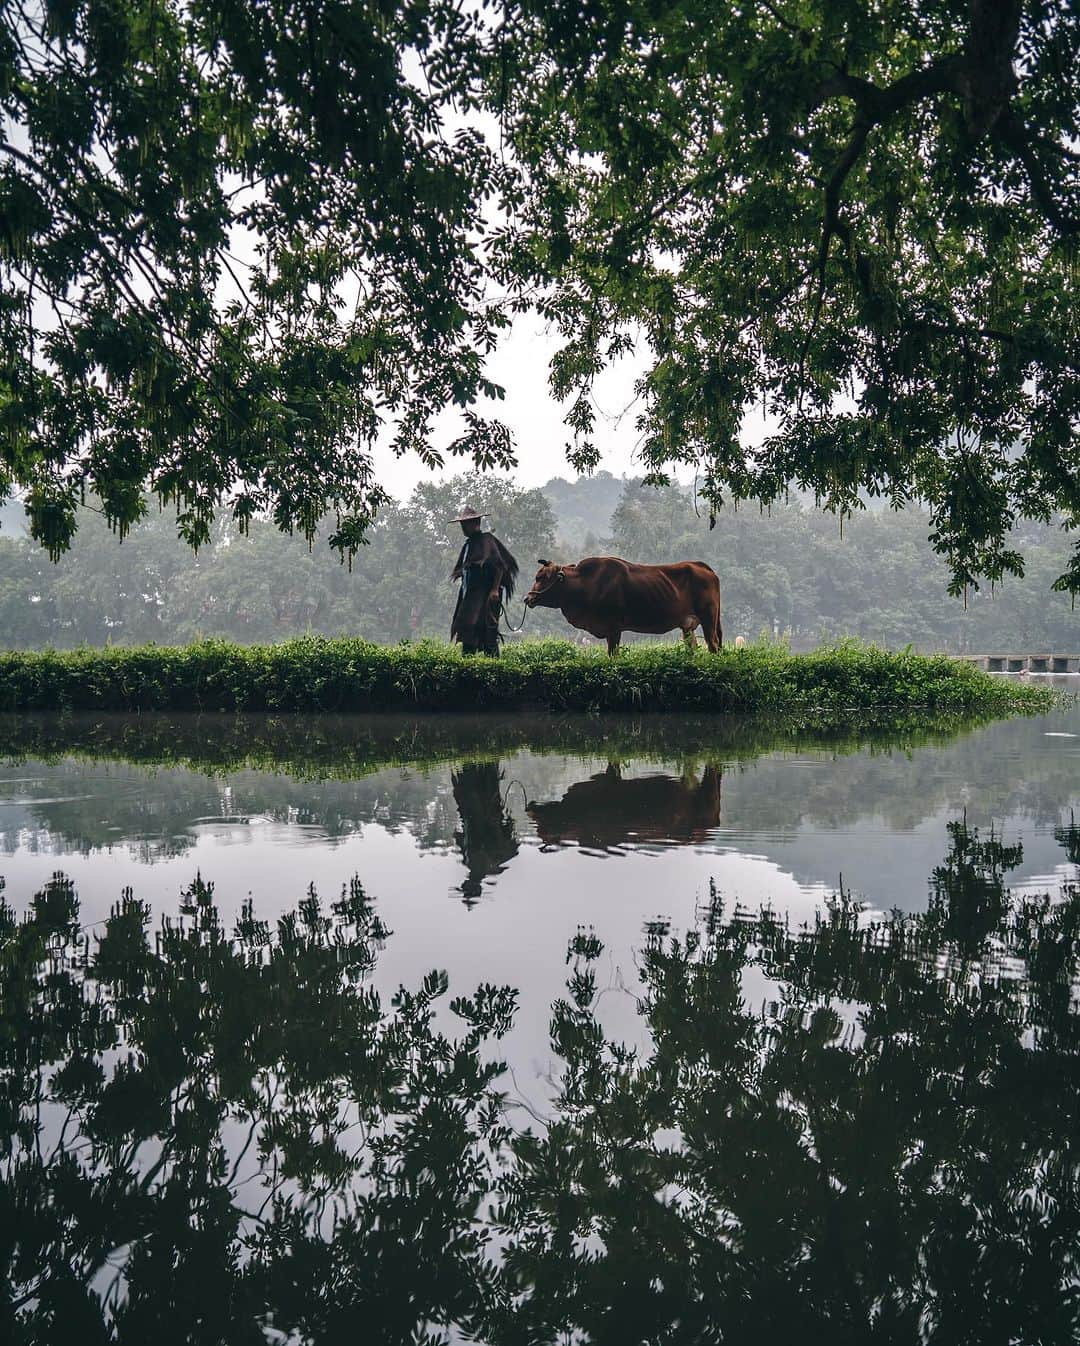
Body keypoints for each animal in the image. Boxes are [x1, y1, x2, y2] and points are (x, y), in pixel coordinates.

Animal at [519, 554, 716, 654]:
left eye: (541, 577)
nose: (528, 598)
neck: (585, 583)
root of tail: (700, 565)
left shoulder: (613, 628)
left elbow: (613, 654)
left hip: (709, 618)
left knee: (713, 645)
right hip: (687, 626)